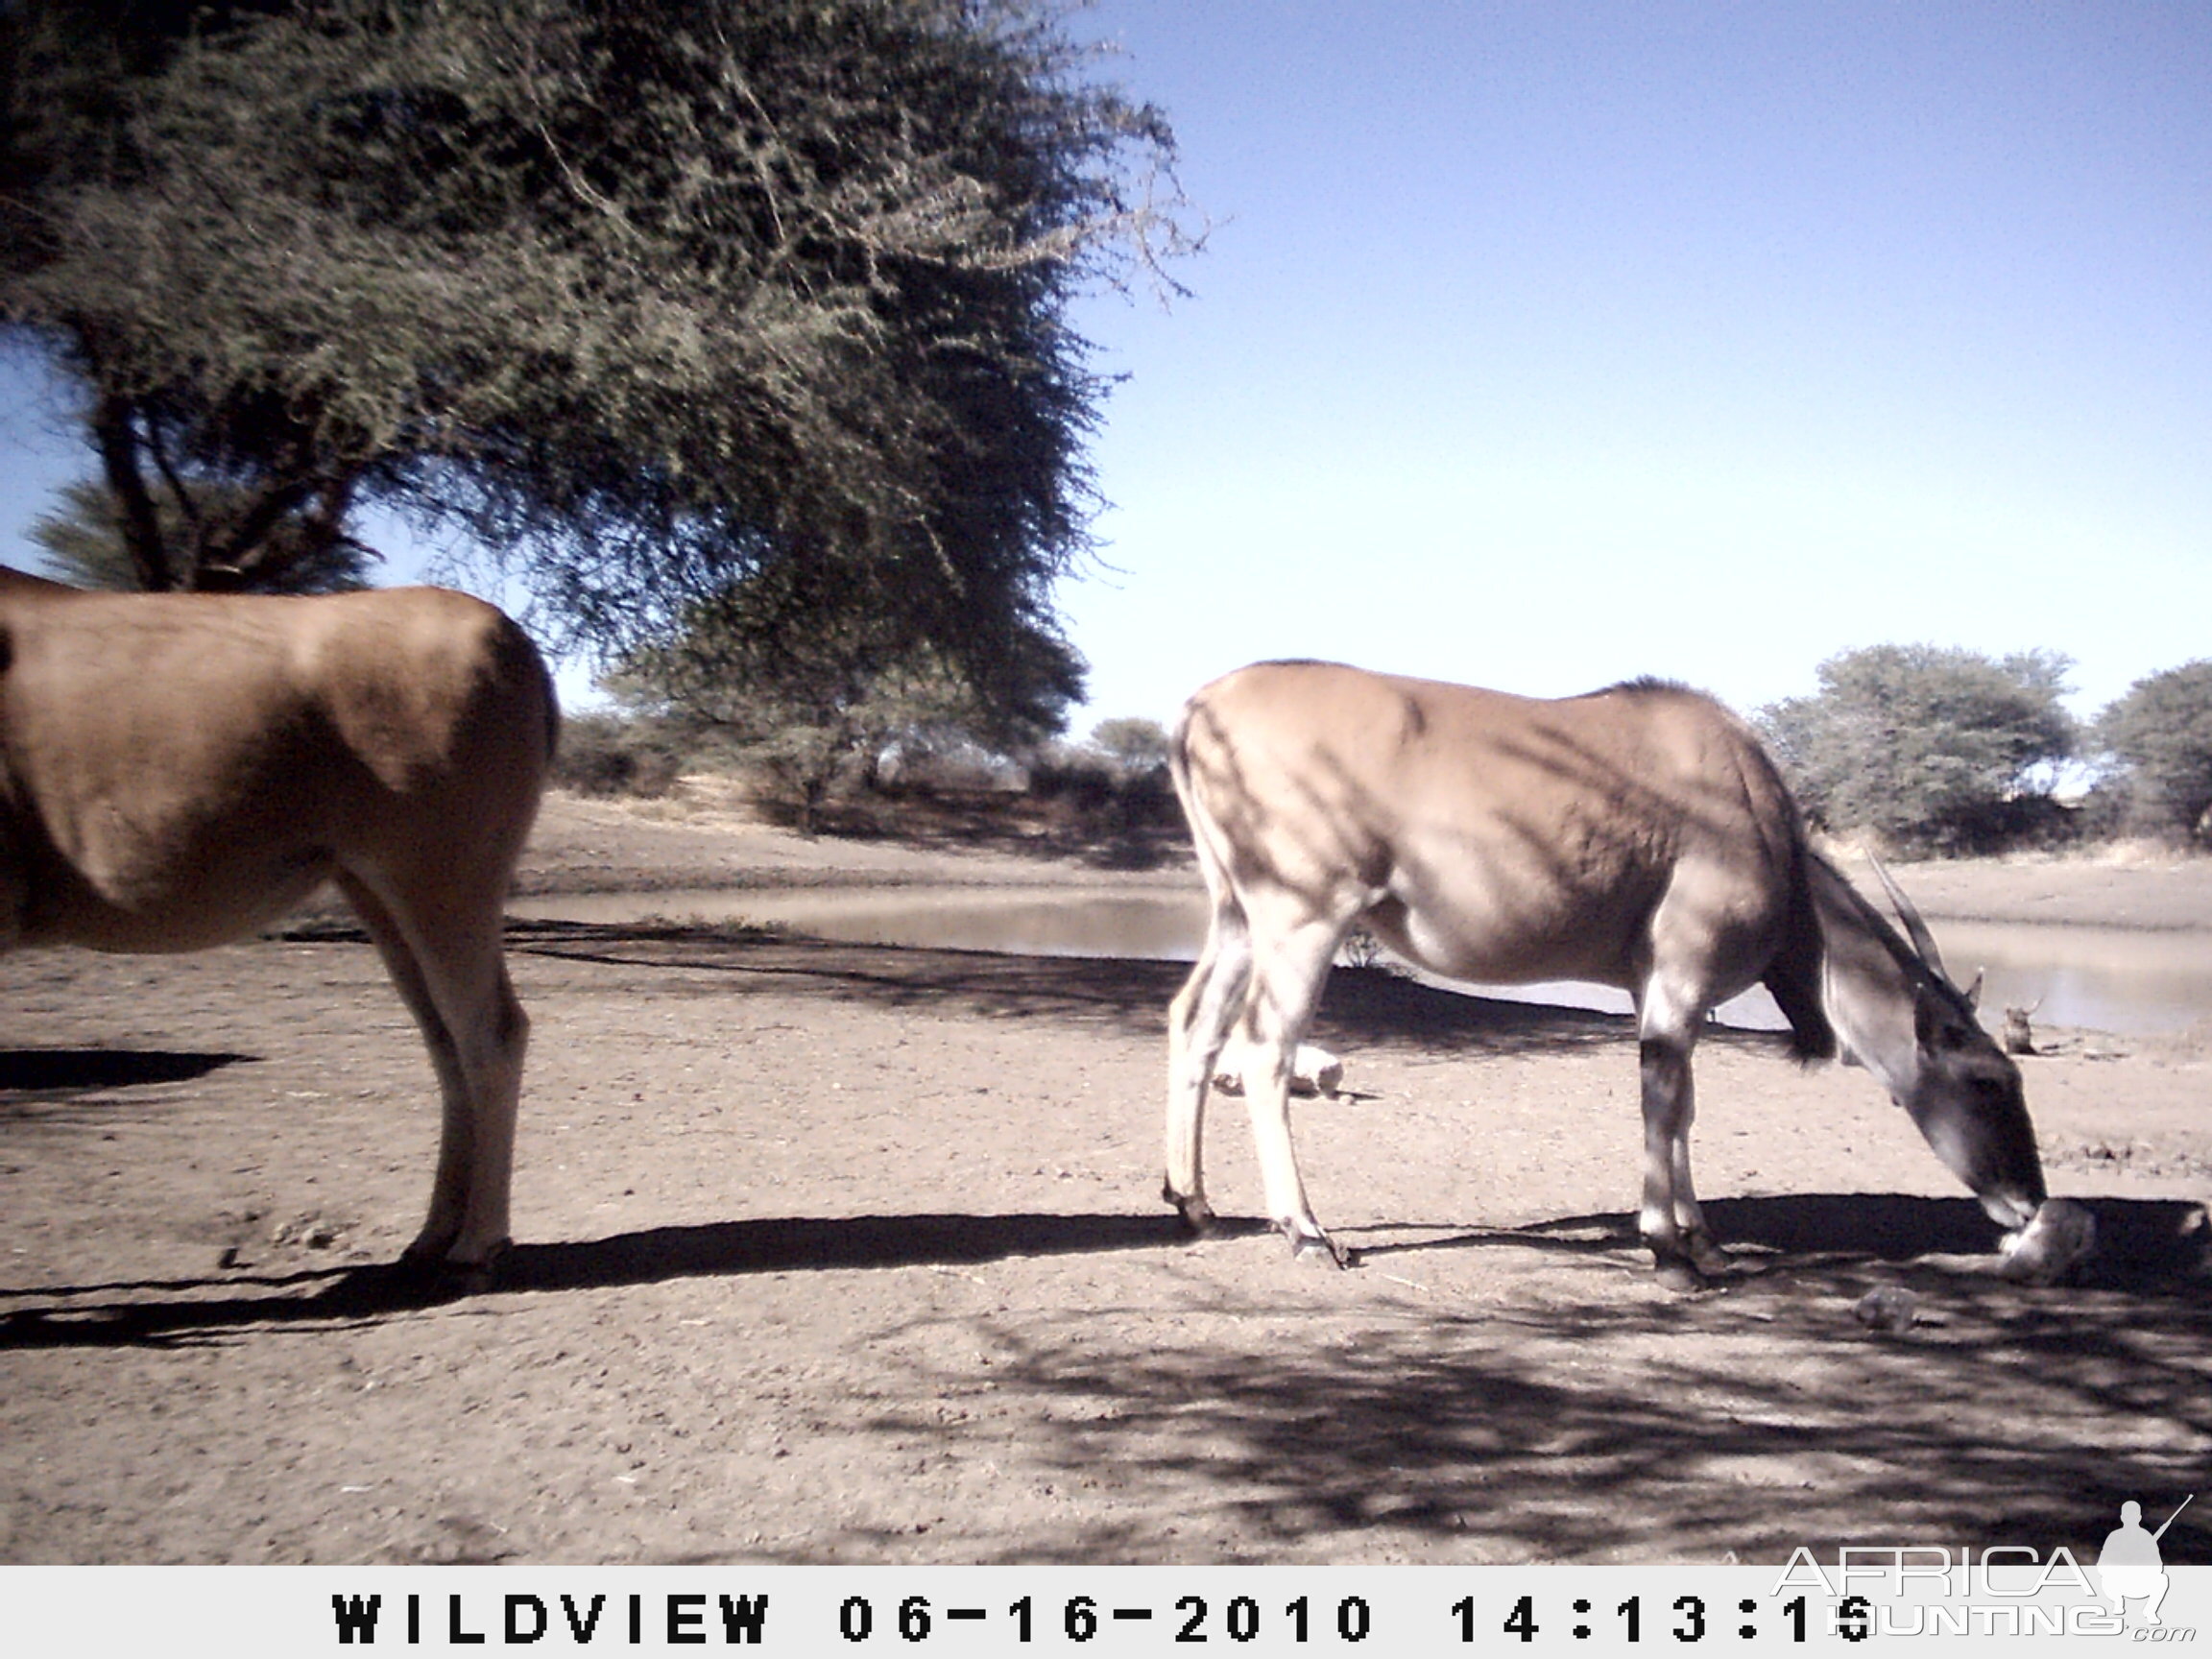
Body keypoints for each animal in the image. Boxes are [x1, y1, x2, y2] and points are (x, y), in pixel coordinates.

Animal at [2, 565, 553, 1283]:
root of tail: (512, 642)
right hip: (377, 891)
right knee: (445, 1042)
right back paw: (433, 1234)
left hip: (439, 881)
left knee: (490, 1033)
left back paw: (477, 1244)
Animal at [1167, 659, 2043, 1283]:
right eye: (1989, 1082)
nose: (2029, 1202)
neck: (1755, 813)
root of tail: (1198, 710)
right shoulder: (1680, 980)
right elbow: (1663, 1099)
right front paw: (1669, 1250)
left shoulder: (1653, 986)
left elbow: (1684, 1106)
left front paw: (1705, 1241)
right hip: (1304, 917)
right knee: (1266, 1050)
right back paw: (1306, 1233)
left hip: (1237, 917)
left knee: (1195, 1023)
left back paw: (1194, 1203)